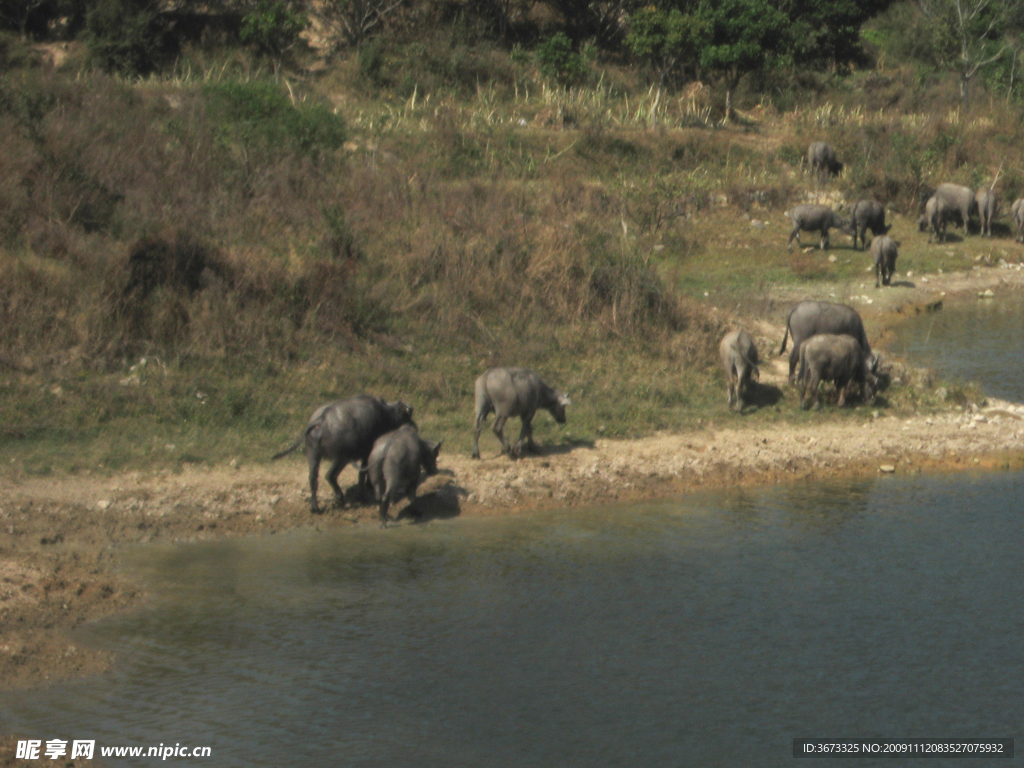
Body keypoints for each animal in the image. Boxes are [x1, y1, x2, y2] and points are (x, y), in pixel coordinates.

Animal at [276, 393, 415, 514]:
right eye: (407, 416)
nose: (413, 426)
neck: (385, 414)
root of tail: (322, 419)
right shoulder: (366, 453)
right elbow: (362, 473)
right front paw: (362, 493)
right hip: (342, 458)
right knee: (330, 475)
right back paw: (340, 497)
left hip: (313, 455)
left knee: (313, 478)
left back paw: (316, 507)